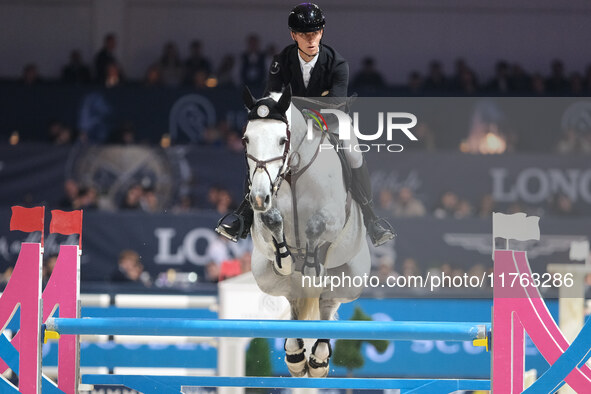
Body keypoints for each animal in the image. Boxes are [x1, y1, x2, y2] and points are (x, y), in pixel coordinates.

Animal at [242, 87, 370, 378]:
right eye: (246, 139)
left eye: (281, 140)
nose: (258, 197)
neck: (293, 171)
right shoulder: (263, 222)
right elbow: (271, 220)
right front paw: (286, 259)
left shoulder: (334, 218)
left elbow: (316, 226)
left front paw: (311, 263)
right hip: (265, 275)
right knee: (293, 301)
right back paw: (296, 355)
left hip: (350, 278)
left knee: (328, 304)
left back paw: (318, 359)